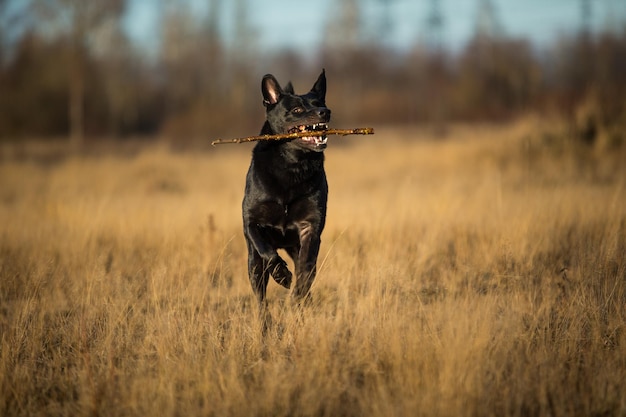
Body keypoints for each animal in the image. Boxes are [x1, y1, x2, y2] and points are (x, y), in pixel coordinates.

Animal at [241, 70, 330, 306]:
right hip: (253, 264)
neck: (291, 166)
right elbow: (266, 249)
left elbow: (306, 270)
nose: (325, 112)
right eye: (297, 110)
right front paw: (281, 274)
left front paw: (297, 294)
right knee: (261, 297)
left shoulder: (310, 227)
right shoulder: (251, 221)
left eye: (320, 103)